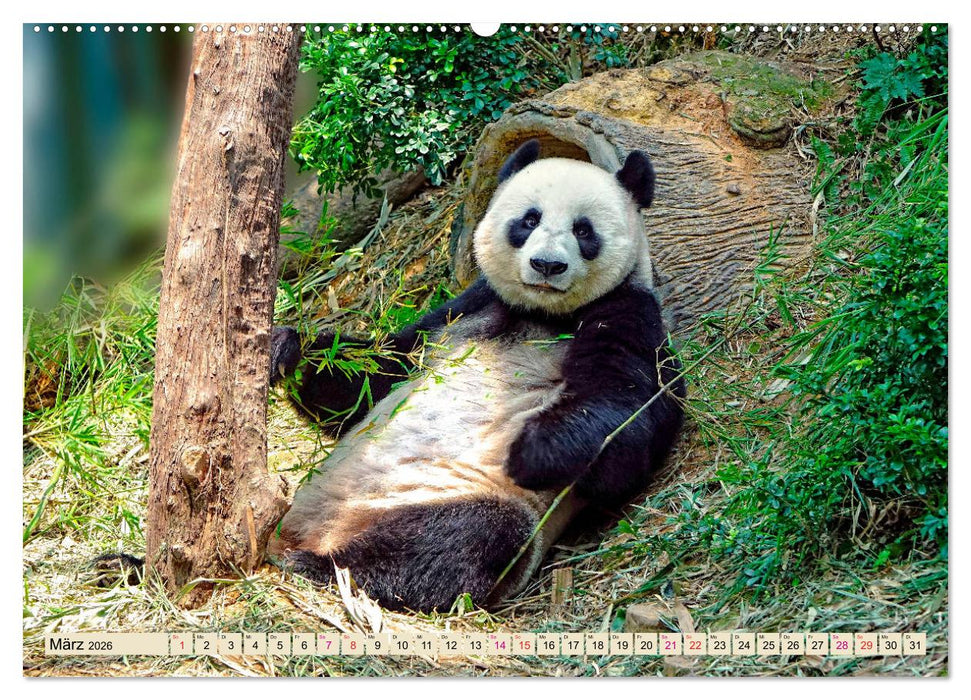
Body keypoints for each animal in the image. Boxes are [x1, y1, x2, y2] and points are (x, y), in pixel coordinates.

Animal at [267, 140, 685, 612]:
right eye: (529, 220)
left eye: (583, 230)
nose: (547, 265)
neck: (541, 314)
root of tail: (322, 530)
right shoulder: (466, 308)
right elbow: (376, 376)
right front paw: (286, 348)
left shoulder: (629, 313)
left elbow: (627, 421)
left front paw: (533, 451)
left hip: (450, 495)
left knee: (460, 539)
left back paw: (324, 567)